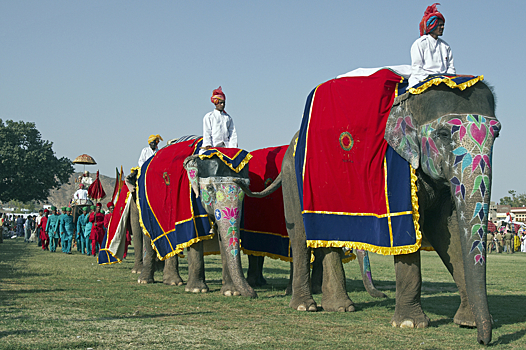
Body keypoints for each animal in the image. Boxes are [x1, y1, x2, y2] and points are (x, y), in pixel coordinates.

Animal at [241, 70, 502, 344]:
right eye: (442, 134)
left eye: (496, 134)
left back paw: (339, 307)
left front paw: (469, 323)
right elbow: (408, 234)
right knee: (301, 238)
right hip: (294, 180)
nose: (484, 341)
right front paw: (410, 324)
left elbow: (448, 231)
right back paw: (306, 306)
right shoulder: (396, 175)